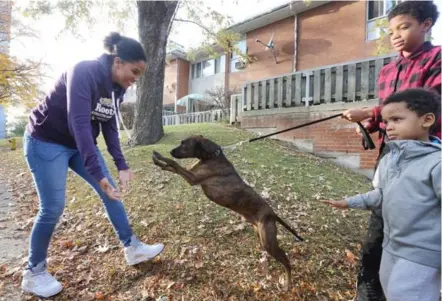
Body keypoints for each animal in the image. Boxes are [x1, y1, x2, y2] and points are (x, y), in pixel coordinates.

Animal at [153, 135, 304, 290]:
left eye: (184, 144)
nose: (171, 151)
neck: (212, 156)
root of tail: (272, 213)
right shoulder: (191, 173)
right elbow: (172, 167)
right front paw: (160, 163)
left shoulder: (193, 178)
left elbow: (174, 164)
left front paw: (160, 156)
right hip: (261, 235)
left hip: (268, 242)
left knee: (286, 260)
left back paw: (287, 284)